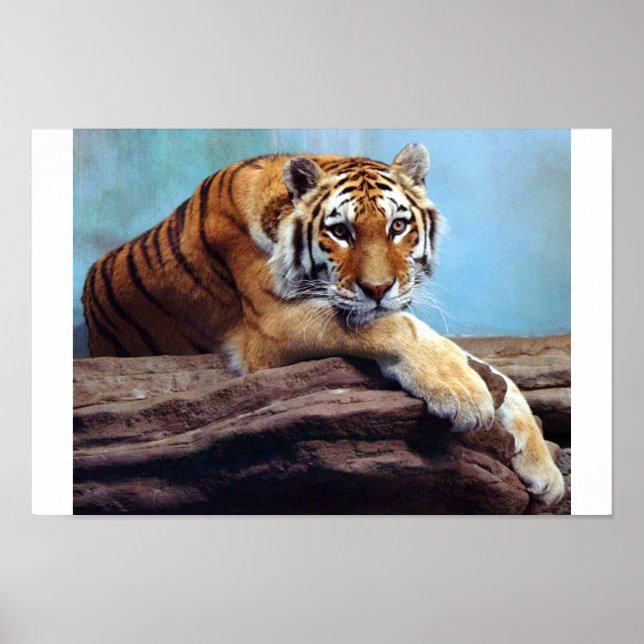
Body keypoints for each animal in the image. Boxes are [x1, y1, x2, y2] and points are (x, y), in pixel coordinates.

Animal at [82, 143, 564, 505]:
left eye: (398, 226)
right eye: (341, 232)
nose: (378, 288)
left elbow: (493, 371)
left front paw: (545, 468)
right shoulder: (272, 323)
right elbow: (401, 328)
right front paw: (464, 394)